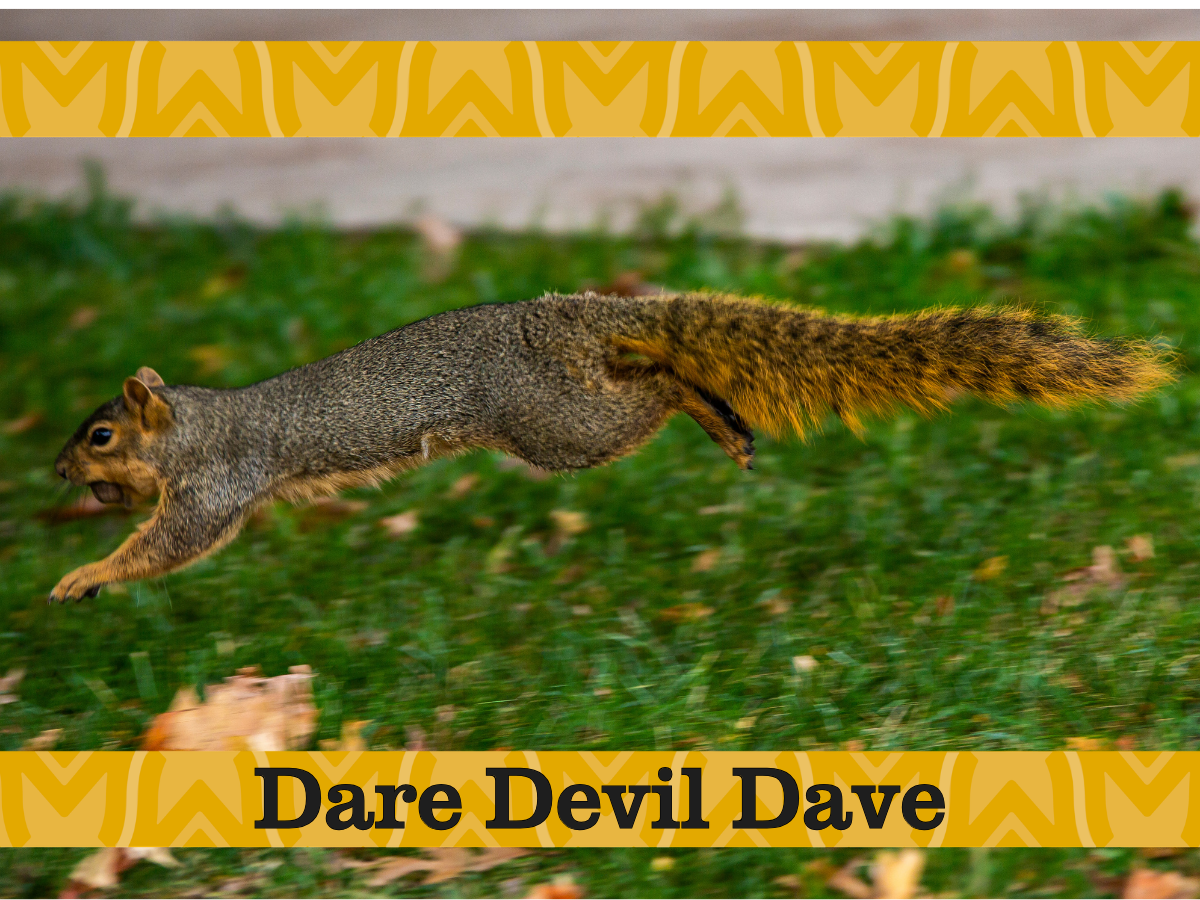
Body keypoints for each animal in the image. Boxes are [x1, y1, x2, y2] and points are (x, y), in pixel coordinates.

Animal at [50, 291, 1172, 603]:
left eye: (101, 431)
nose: (57, 471)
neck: (195, 419)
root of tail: (573, 318)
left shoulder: (216, 484)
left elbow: (175, 542)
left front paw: (81, 575)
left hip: (561, 426)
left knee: (661, 386)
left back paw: (712, 412)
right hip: (573, 406)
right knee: (656, 370)